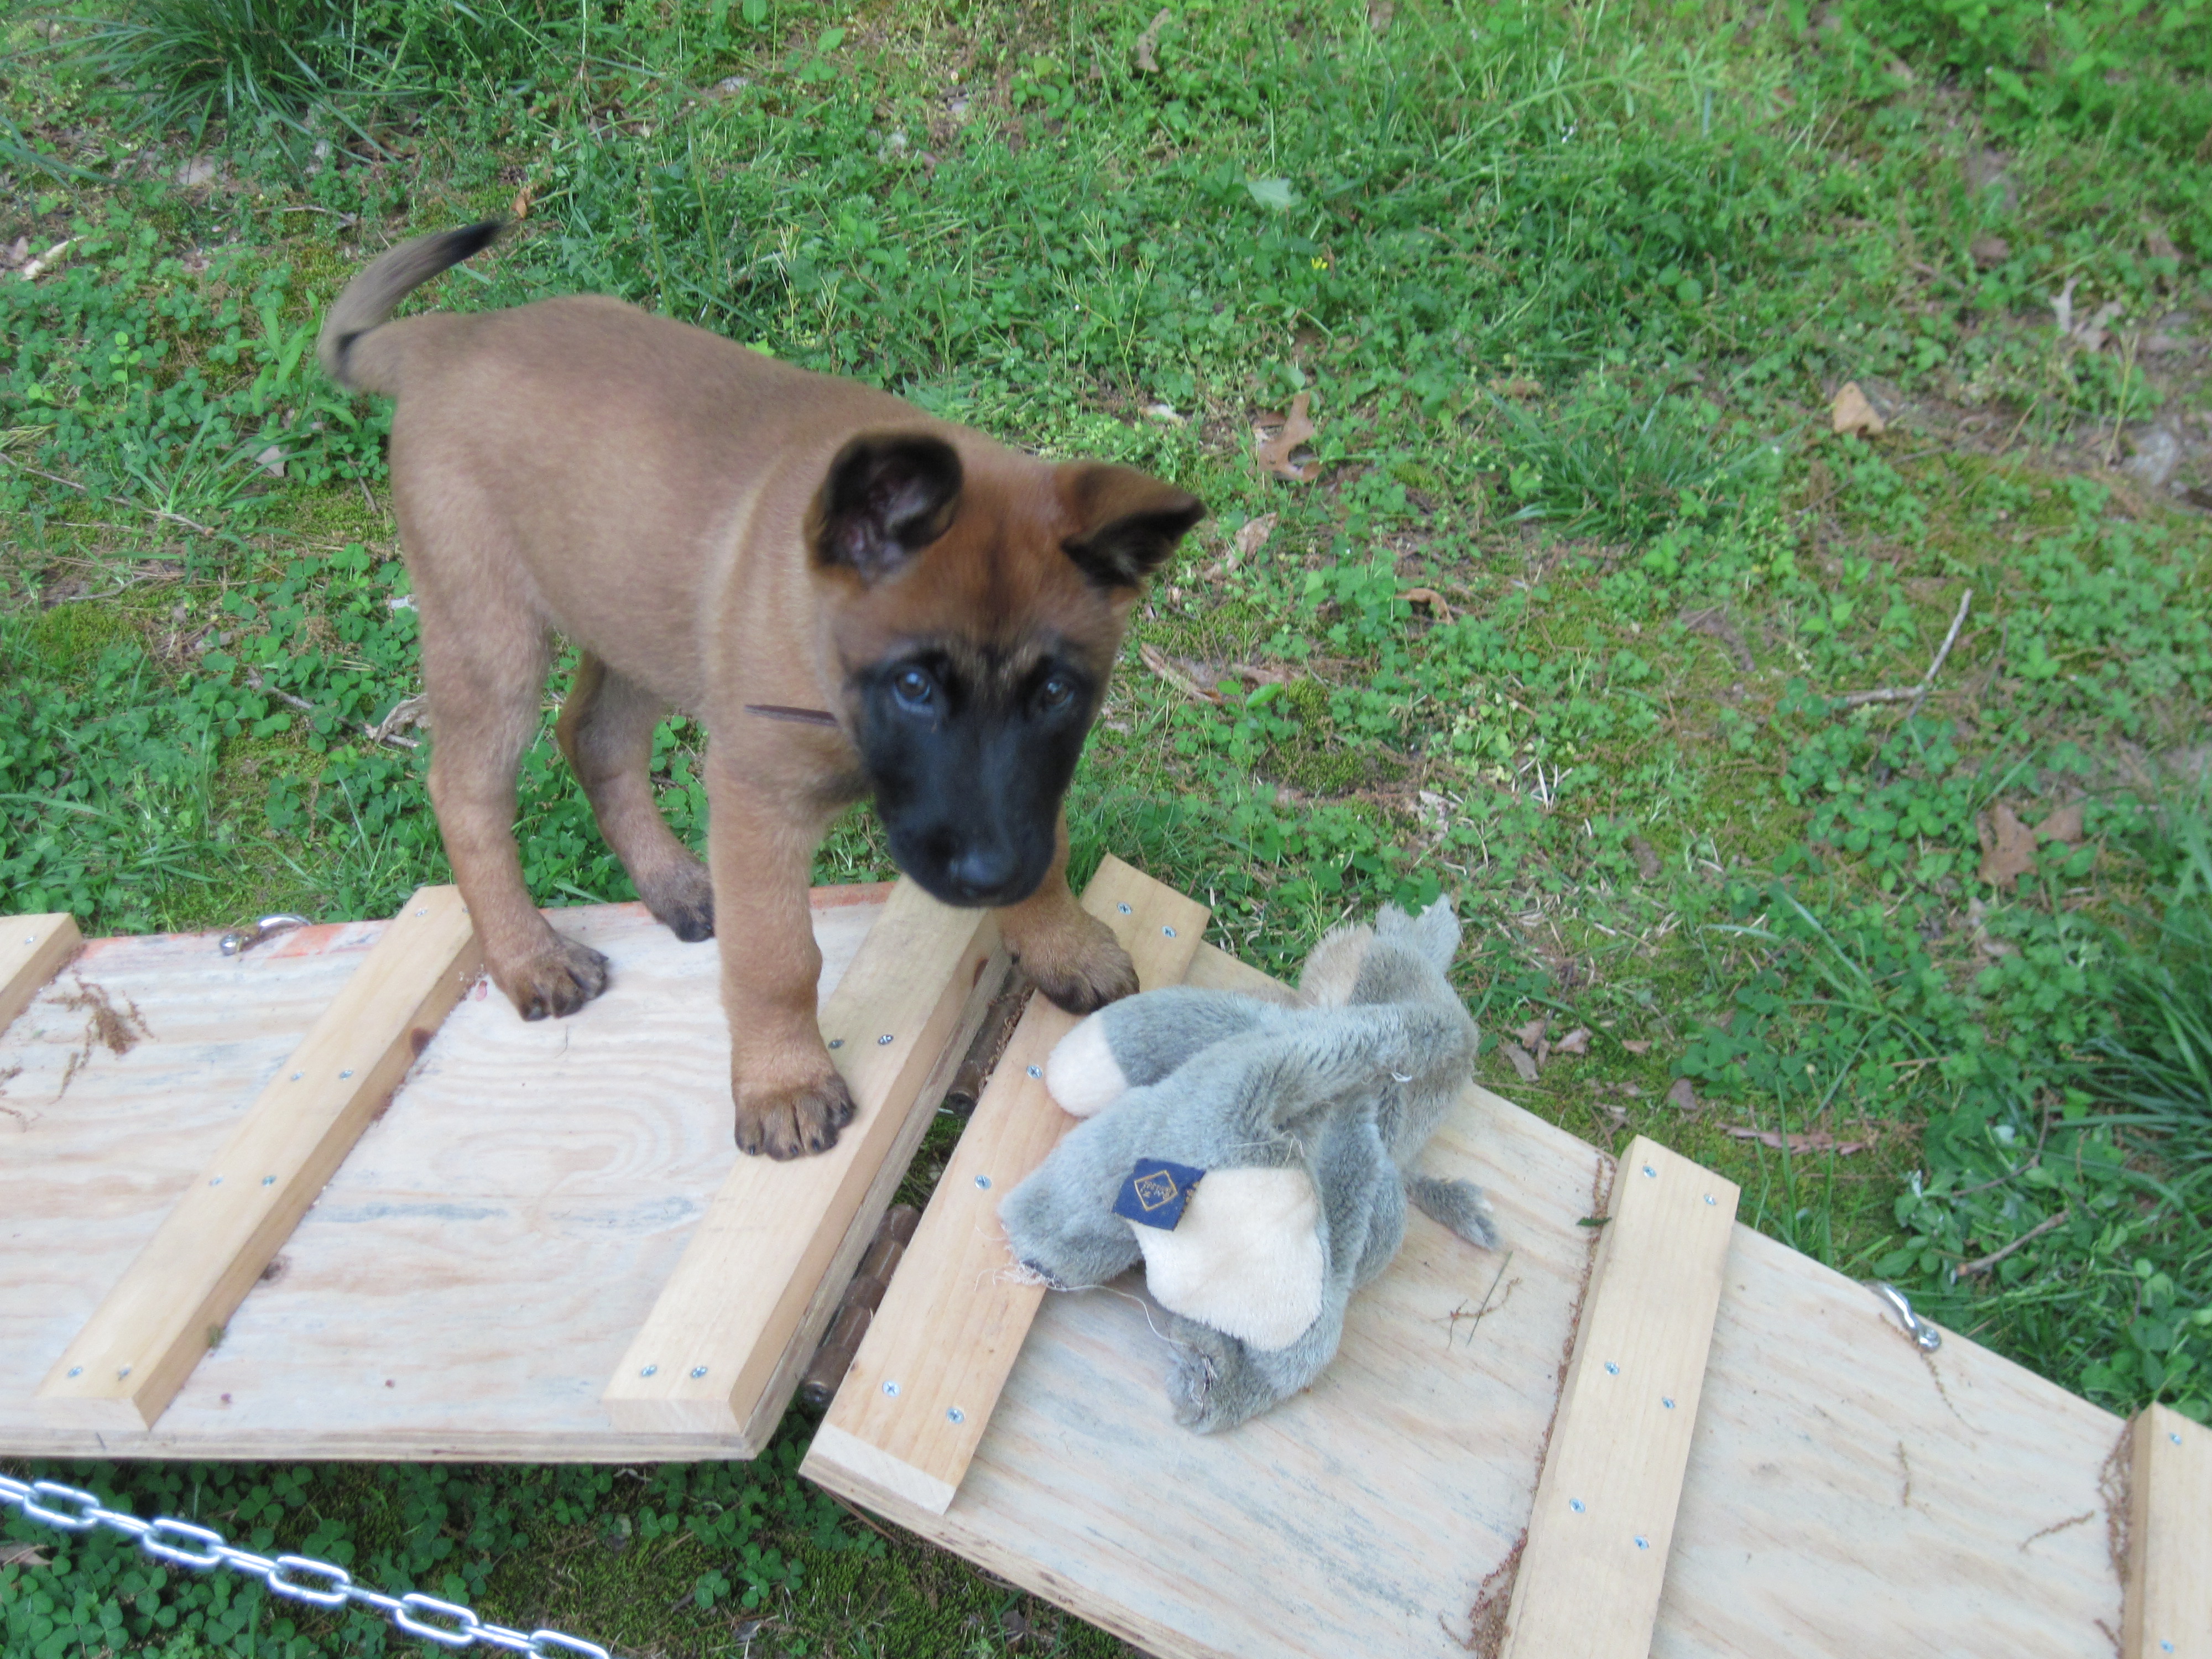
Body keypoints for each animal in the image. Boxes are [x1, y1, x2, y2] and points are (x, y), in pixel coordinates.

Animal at [321, 225, 1203, 1159]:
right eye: (915, 685)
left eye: (1057, 694)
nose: (987, 874)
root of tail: (449, 338)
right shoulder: (757, 798)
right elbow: (777, 958)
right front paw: (786, 1082)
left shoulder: (1025, 786)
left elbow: (1050, 848)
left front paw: (1061, 944)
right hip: (491, 634)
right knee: (466, 792)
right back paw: (531, 956)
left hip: (637, 614)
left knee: (593, 738)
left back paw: (675, 882)